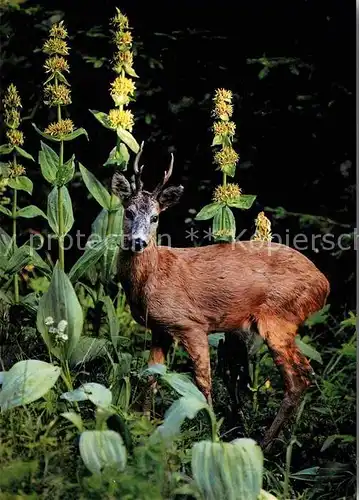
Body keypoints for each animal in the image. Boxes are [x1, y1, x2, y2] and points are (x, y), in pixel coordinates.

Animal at [112, 142, 332, 450]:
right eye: (129, 212)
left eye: (155, 217)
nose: (138, 242)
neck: (151, 280)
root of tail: (324, 284)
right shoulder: (160, 329)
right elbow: (151, 376)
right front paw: (144, 426)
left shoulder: (191, 324)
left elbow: (203, 382)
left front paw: (212, 432)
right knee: (307, 373)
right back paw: (288, 440)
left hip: (278, 318)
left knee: (296, 379)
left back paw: (265, 443)